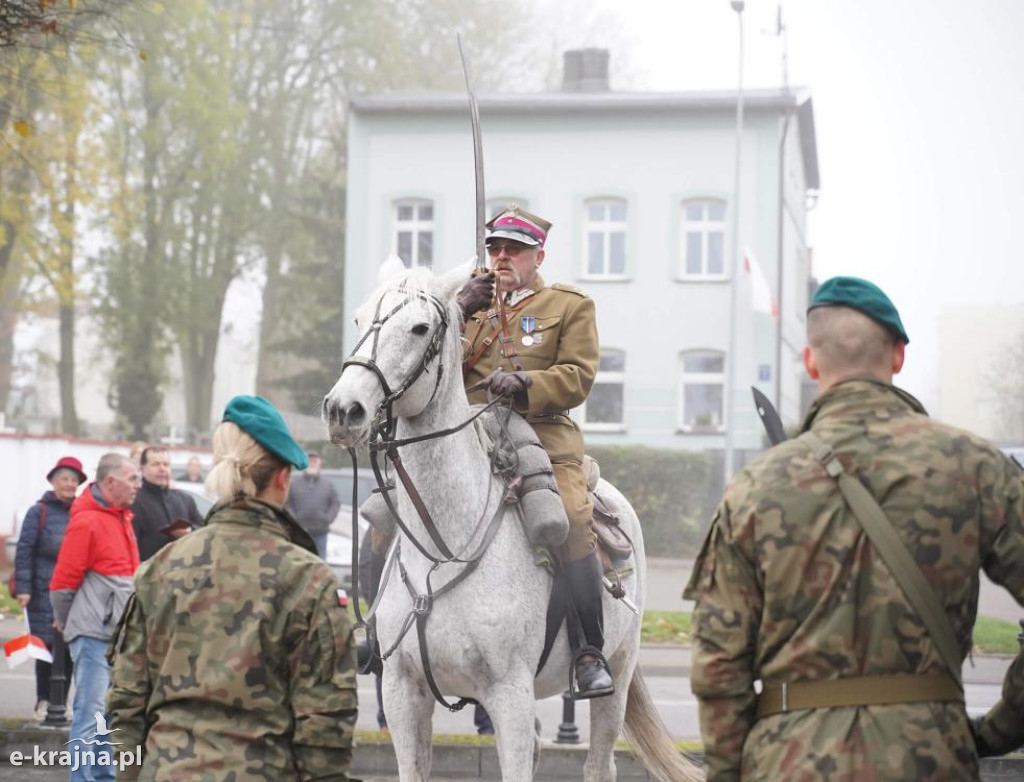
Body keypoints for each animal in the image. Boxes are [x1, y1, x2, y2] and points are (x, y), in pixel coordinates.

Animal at [321, 264, 704, 781]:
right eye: (359, 320)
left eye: (420, 328)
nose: (344, 409)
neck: (442, 550)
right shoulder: (403, 693)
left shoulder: (510, 695)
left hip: (618, 675)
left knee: (599, 762)